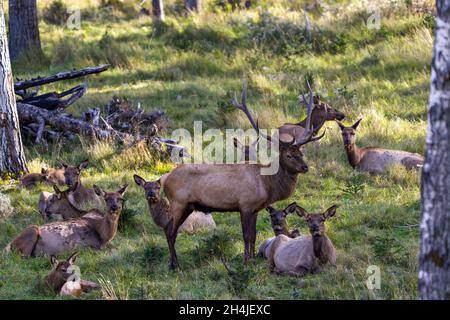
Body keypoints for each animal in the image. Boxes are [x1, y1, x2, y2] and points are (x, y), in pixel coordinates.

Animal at [162, 80, 324, 270]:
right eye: (288, 155)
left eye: (301, 153)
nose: (305, 167)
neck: (266, 184)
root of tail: (164, 179)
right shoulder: (245, 205)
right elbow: (246, 235)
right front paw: (246, 261)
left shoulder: (255, 208)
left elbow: (253, 235)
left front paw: (253, 259)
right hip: (178, 203)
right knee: (170, 230)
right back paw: (175, 265)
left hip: (187, 206)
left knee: (168, 229)